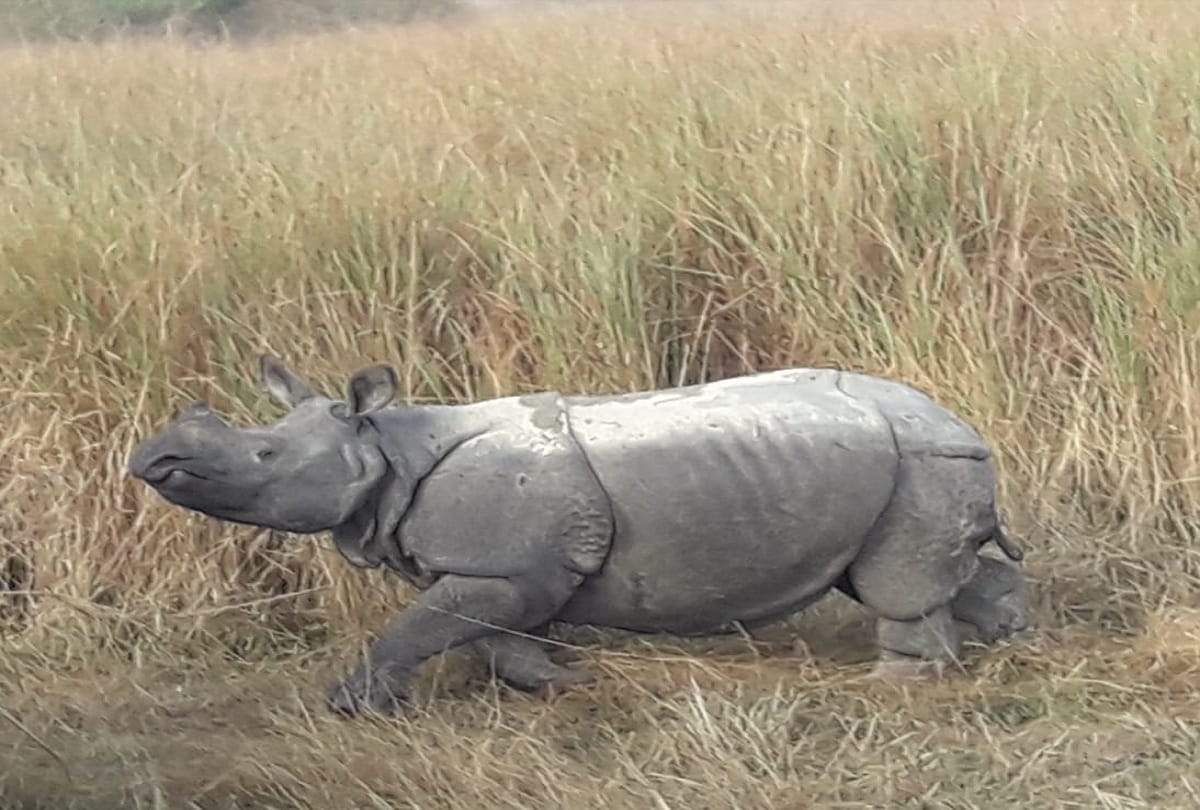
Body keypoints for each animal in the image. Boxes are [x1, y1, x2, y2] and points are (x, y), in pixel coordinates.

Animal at [128, 355, 1030, 717]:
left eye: (264, 456)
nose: (150, 459)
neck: (384, 446)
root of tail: (958, 420)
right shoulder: (500, 567)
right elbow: (489, 636)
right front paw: (562, 684)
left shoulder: (501, 566)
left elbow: (414, 630)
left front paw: (354, 708)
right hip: (904, 463)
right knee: (928, 569)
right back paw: (1012, 639)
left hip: (918, 460)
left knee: (897, 583)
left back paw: (893, 685)